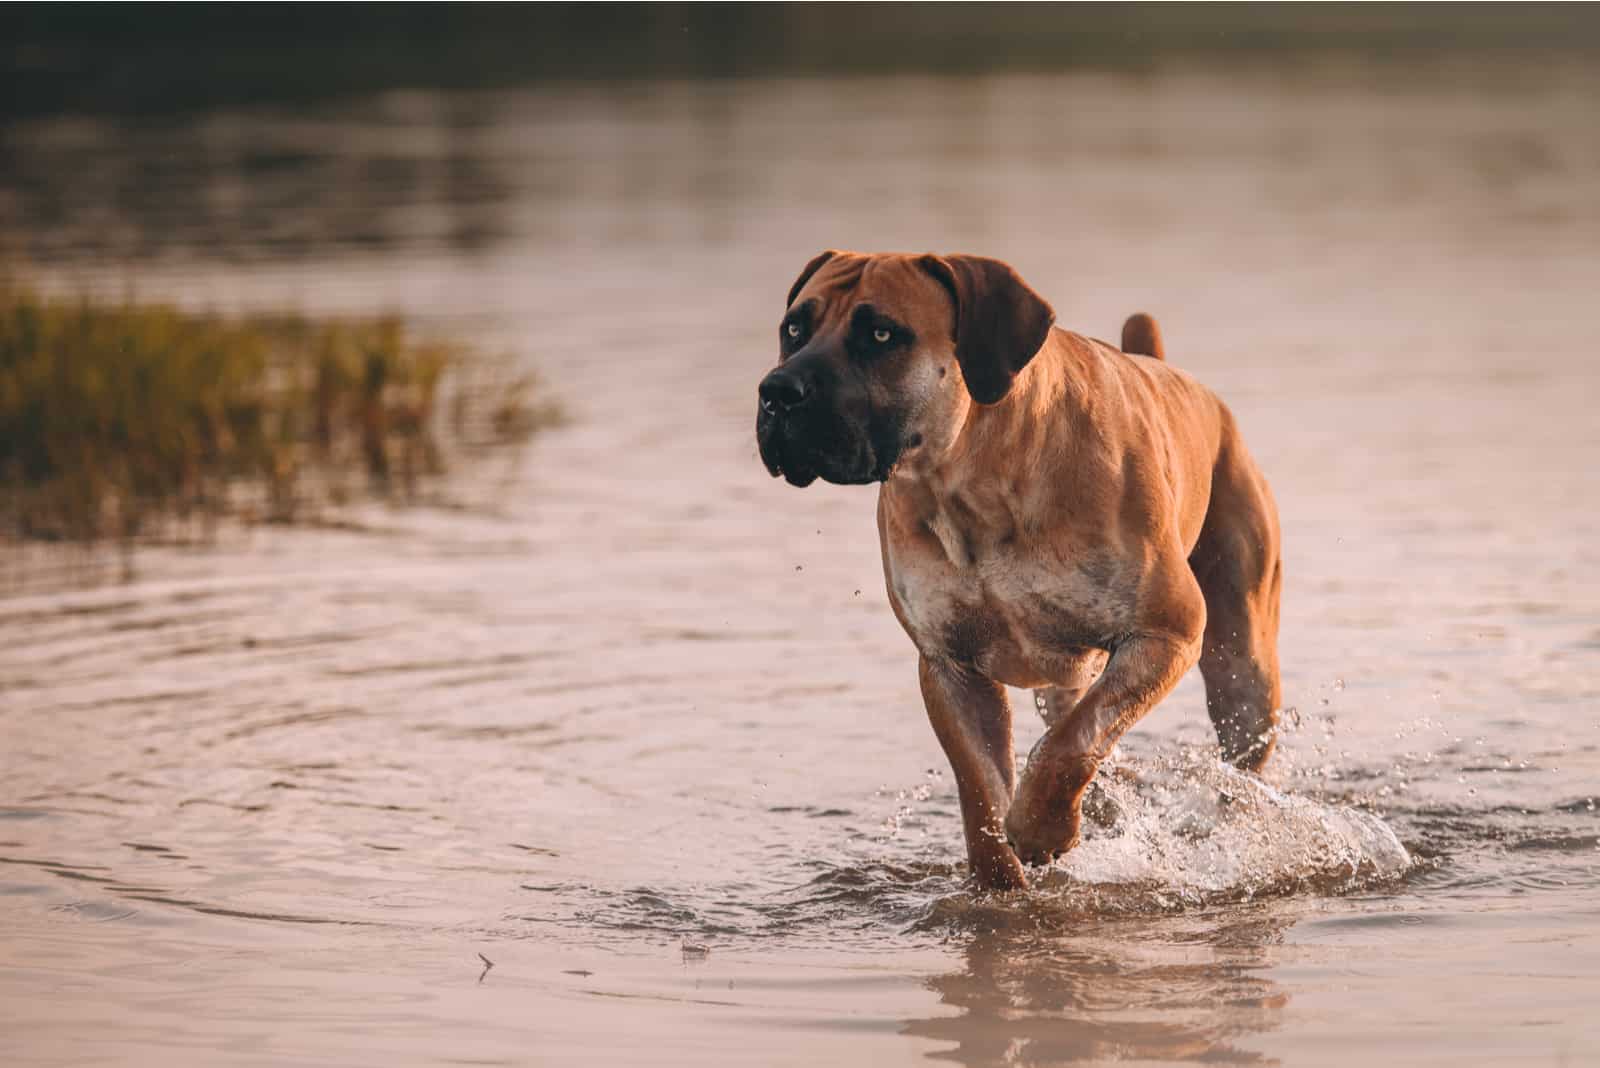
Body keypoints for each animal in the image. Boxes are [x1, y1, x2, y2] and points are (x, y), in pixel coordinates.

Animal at [758, 252, 1286, 895]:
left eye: (881, 334)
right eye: (794, 329)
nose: (777, 391)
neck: (972, 473)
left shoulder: (1167, 632)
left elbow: (1072, 745)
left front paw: (1039, 828)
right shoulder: (949, 665)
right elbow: (981, 789)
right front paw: (1000, 883)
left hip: (1243, 665)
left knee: (1233, 756)